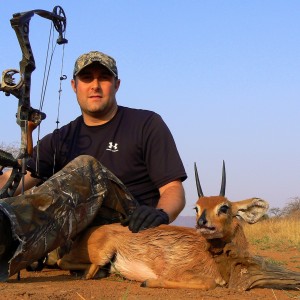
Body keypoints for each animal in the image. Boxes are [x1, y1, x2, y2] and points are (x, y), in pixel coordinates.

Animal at [57, 162, 300, 290]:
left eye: (224, 207)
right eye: (197, 207)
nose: (202, 223)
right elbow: (209, 282)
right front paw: (148, 281)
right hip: (101, 255)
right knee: (70, 265)